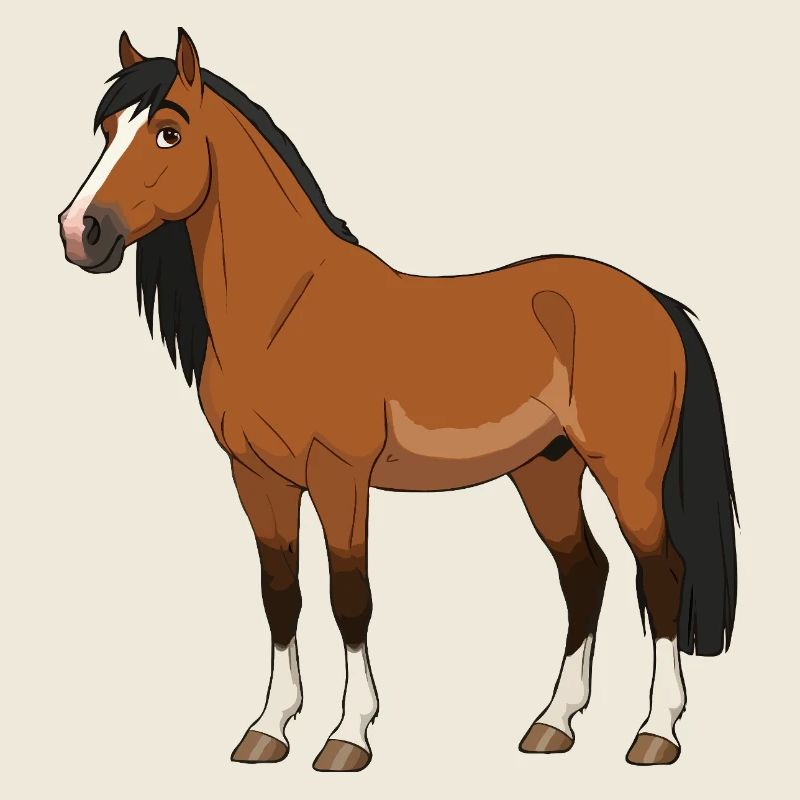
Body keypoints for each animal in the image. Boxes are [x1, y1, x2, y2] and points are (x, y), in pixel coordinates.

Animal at [58, 29, 738, 771]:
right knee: (585, 574)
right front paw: (268, 729)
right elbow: (280, 595)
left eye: (170, 132)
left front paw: (348, 736)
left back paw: (656, 733)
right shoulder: (257, 478)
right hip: (547, 470)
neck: (286, 316)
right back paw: (553, 723)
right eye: (106, 131)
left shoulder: (340, 476)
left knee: (661, 574)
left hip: (627, 473)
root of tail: (655, 301)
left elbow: (348, 598)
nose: (79, 231)